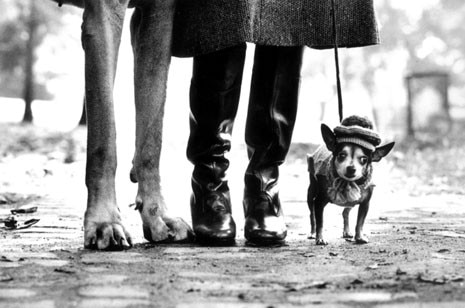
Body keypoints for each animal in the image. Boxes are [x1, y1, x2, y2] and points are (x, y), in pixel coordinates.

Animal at [306, 115, 394, 245]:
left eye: (364, 159)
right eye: (341, 155)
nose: (351, 168)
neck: (347, 182)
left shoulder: (365, 204)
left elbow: (360, 222)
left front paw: (359, 237)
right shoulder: (319, 202)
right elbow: (320, 222)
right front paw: (320, 238)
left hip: (350, 203)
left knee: (345, 212)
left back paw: (347, 231)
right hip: (311, 192)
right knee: (312, 214)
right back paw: (312, 233)